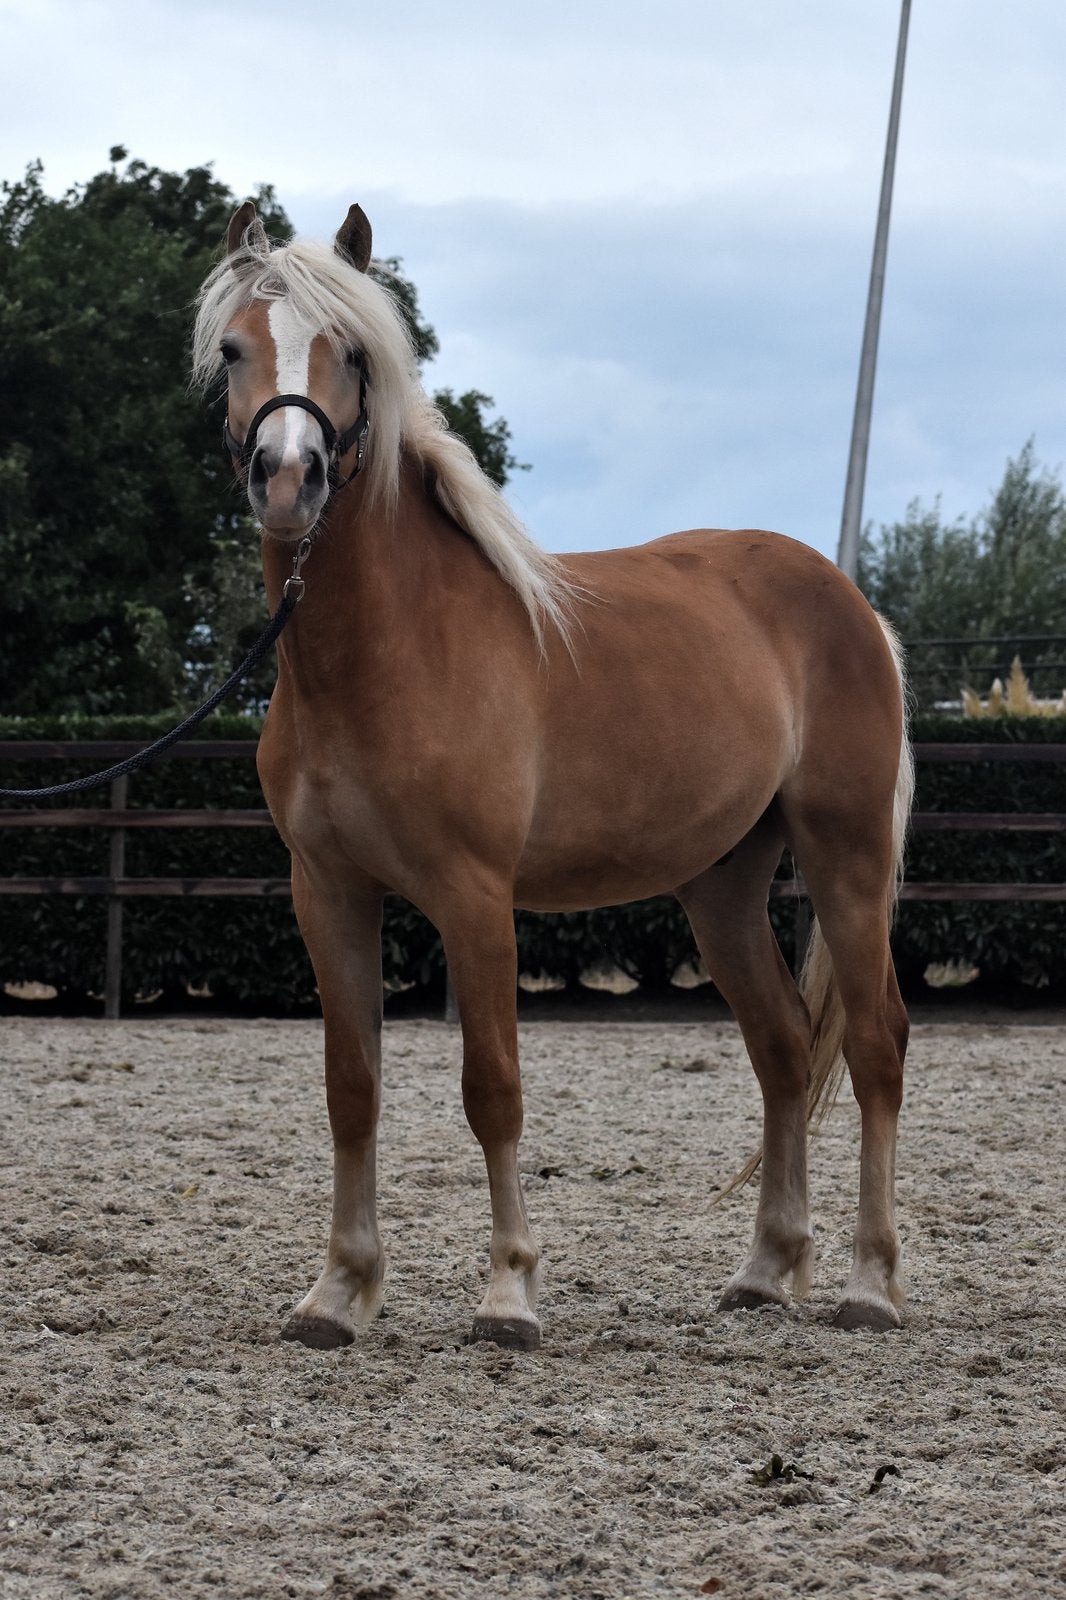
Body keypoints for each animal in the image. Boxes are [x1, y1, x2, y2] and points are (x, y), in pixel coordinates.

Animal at [192, 201, 913, 1351]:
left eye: (351, 351)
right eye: (232, 349)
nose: (289, 478)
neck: (387, 649)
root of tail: (847, 600)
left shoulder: (476, 899)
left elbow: (493, 1087)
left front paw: (509, 1294)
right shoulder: (328, 892)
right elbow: (352, 1087)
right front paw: (338, 1292)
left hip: (846, 861)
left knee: (878, 1045)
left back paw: (868, 1284)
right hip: (722, 887)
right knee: (785, 1051)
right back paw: (764, 1272)